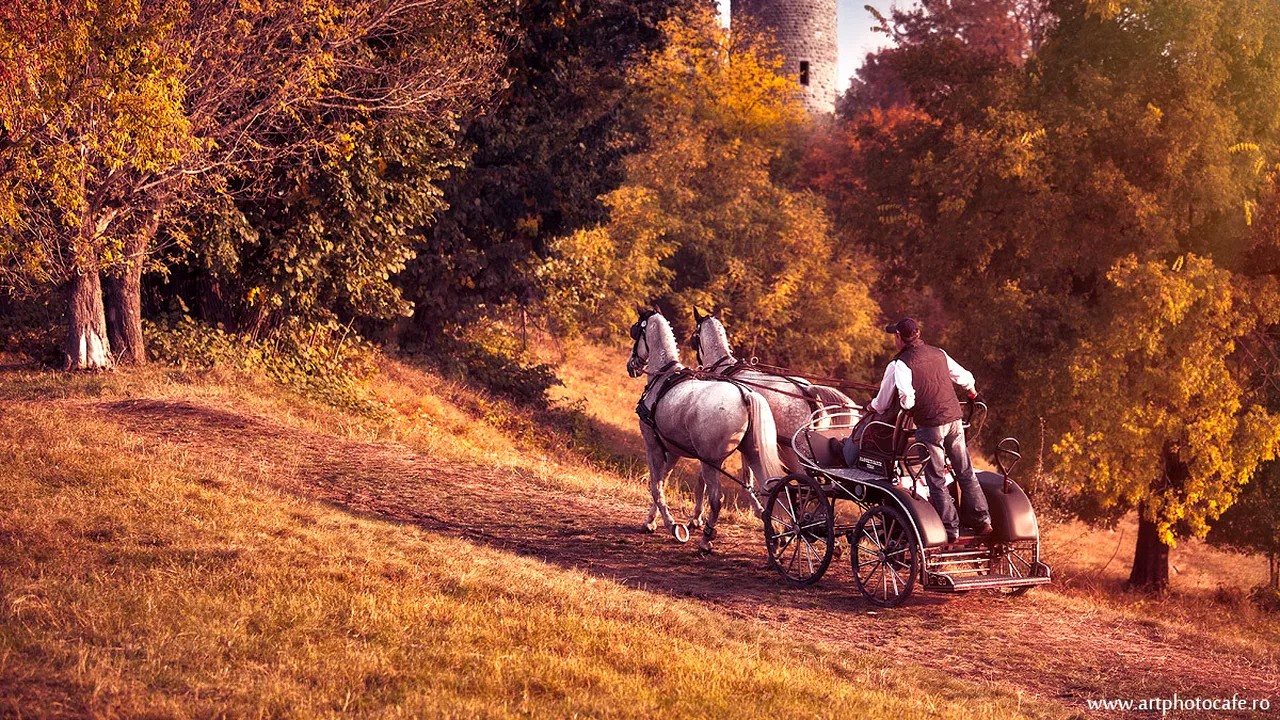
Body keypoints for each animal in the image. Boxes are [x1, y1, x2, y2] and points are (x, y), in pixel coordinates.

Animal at [624, 308, 783, 548]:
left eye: (635, 331)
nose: (631, 365)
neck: (664, 377)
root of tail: (745, 395)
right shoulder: (673, 450)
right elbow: (664, 481)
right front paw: (651, 521)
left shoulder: (653, 445)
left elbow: (656, 487)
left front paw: (673, 525)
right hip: (752, 454)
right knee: (768, 491)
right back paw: (774, 534)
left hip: (711, 462)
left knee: (716, 499)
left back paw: (707, 539)